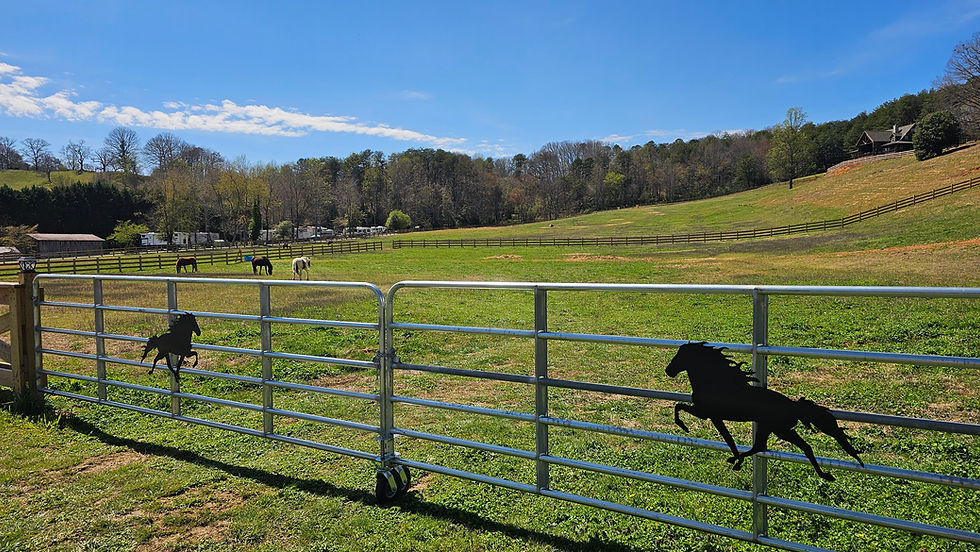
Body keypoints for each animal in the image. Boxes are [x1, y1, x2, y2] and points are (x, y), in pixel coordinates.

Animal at [665, 342, 863, 482]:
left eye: (680, 356)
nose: (669, 371)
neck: (715, 383)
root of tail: (793, 405)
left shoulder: (707, 414)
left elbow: (680, 408)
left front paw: (684, 427)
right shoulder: (711, 416)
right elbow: (728, 439)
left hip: (779, 429)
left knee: (793, 446)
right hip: (772, 428)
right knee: (766, 446)